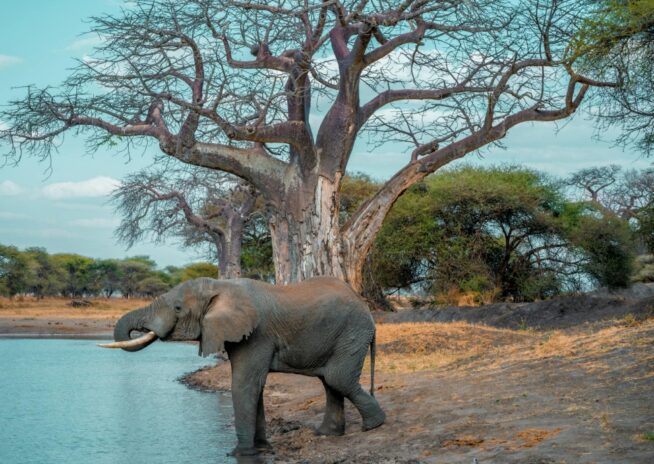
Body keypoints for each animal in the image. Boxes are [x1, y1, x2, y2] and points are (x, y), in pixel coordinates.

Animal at [99, 276, 385, 457]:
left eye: (178, 308)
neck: (221, 285)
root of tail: (366, 307)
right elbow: (254, 386)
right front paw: (261, 449)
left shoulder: (256, 333)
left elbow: (244, 384)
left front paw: (239, 453)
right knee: (329, 381)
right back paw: (328, 434)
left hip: (352, 332)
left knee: (338, 378)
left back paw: (374, 426)